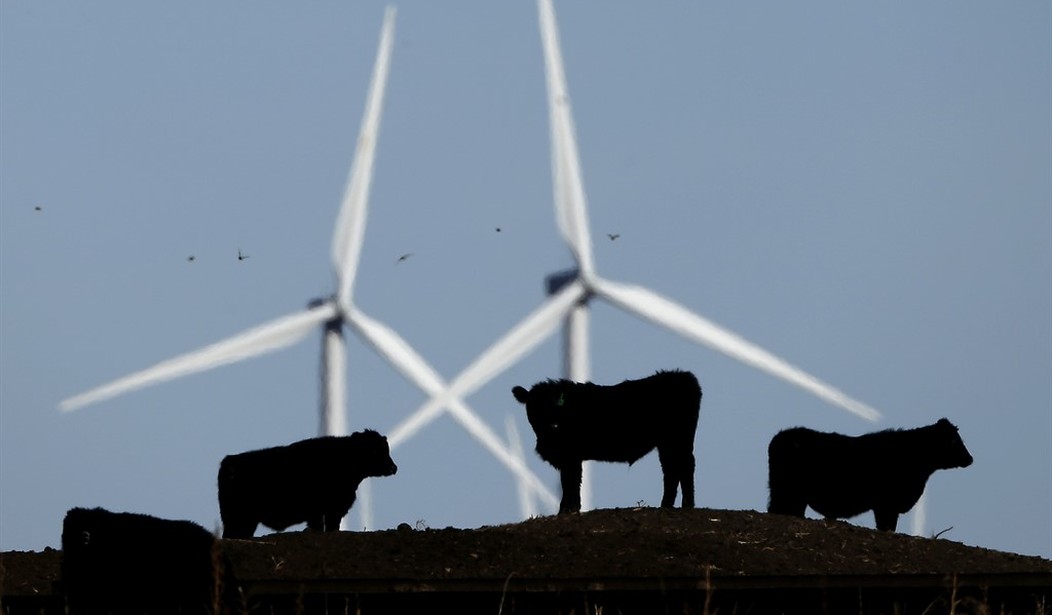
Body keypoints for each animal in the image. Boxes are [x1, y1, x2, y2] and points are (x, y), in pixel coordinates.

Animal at [216, 426, 395, 538]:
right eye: (375, 451)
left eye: (386, 449)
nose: (394, 468)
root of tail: (229, 461)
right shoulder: (325, 510)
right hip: (237, 517)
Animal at [511, 370, 702, 513]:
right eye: (533, 407)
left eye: (554, 404)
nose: (552, 425)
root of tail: (683, 376)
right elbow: (571, 482)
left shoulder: (571, 456)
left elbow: (570, 482)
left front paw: (567, 510)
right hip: (668, 444)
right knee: (672, 469)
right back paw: (668, 505)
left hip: (678, 439)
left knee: (684, 466)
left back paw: (686, 505)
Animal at [770, 416, 972, 531]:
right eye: (953, 440)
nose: (970, 459)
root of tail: (783, 435)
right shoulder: (886, 505)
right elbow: (886, 527)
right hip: (788, 492)